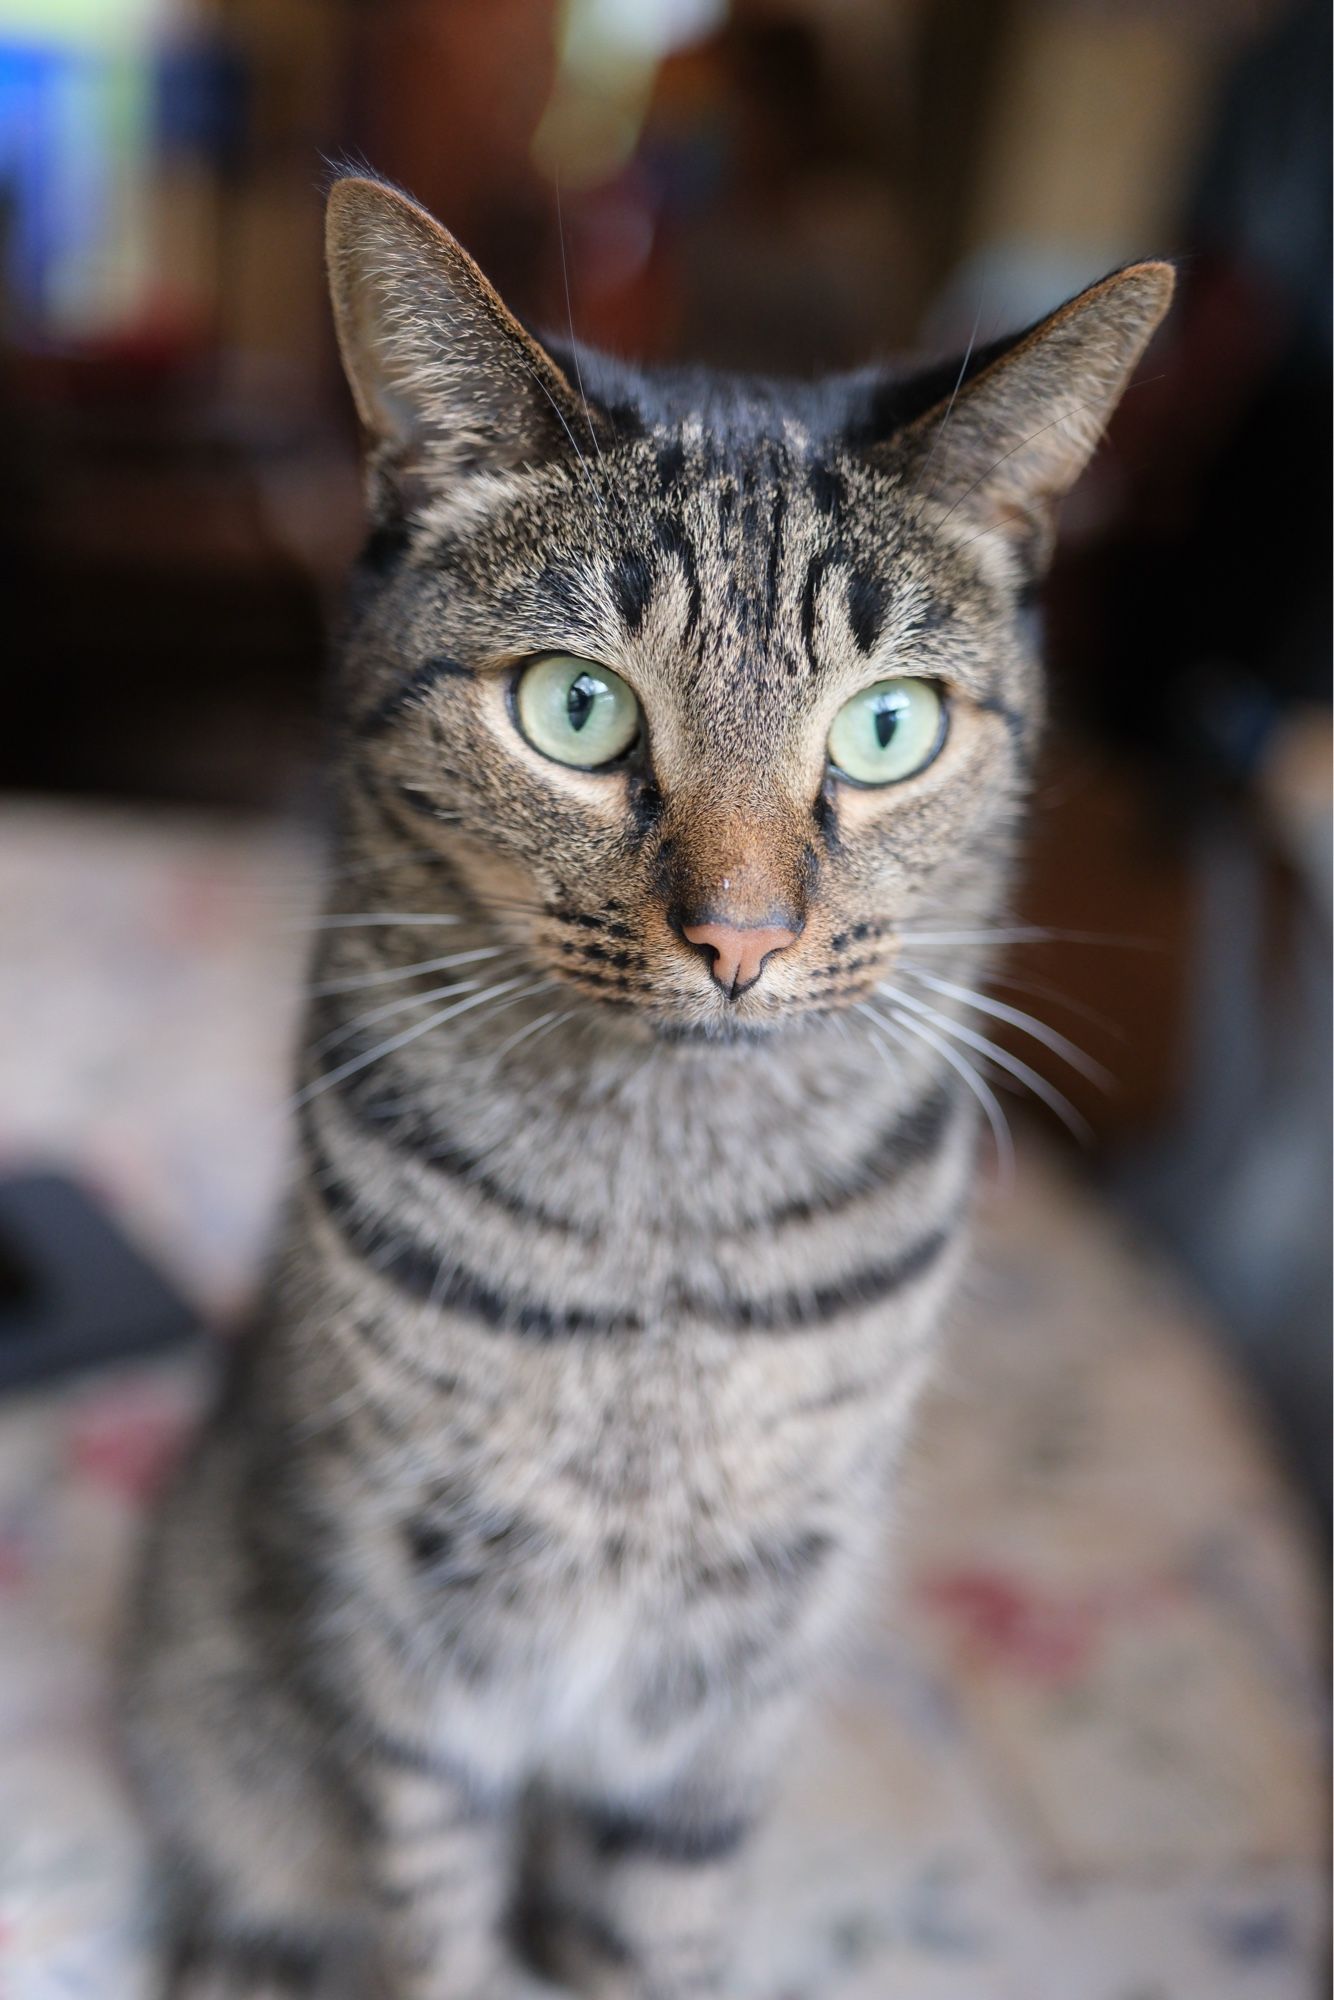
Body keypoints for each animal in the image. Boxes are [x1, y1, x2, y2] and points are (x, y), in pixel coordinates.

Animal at [122, 176, 1168, 2000]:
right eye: (575, 706)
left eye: (886, 728)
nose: (740, 937)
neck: (664, 1233)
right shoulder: (418, 1621)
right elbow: (430, 1908)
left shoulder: (733, 1663)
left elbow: (655, 1921)